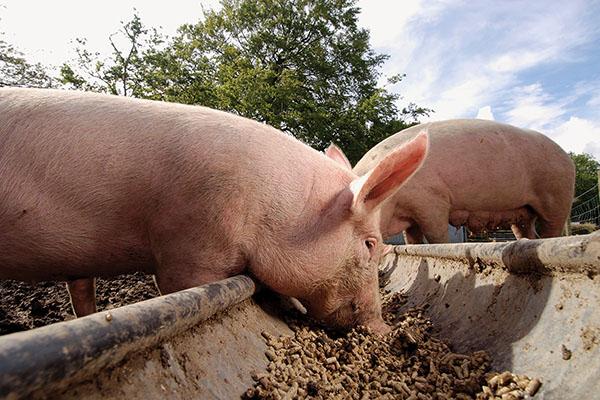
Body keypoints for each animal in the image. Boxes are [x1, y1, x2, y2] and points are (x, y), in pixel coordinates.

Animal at [328, 119, 576, 244]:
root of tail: (569, 158)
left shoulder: (432, 200)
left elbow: (436, 235)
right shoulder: (411, 216)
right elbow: (412, 240)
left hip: (557, 196)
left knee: (551, 229)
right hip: (524, 210)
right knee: (526, 230)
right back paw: (525, 243)